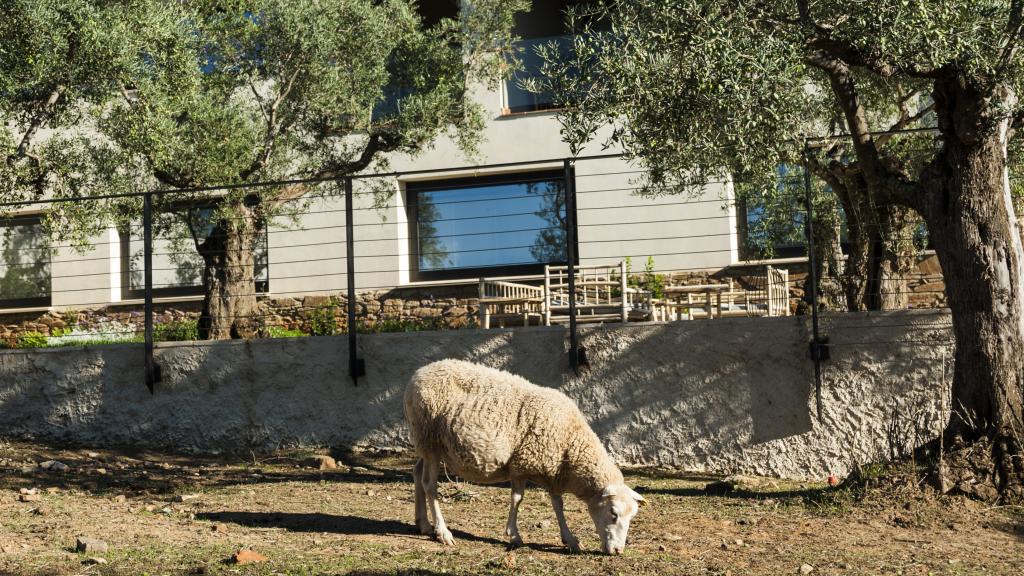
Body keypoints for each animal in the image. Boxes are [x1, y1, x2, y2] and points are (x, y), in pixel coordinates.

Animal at [404, 359, 646, 554]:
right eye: (613, 513)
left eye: (632, 517)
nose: (617, 551)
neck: (571, 443)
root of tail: (417, 374)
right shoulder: (521, 465)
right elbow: (517, 499)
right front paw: (514, 535)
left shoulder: (553, 472)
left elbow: (558, 505)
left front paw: (570, 539)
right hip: (430, 440)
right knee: (430, 485)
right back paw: (443, 532)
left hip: (428, 444)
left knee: (417, 474)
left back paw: (423, 524)